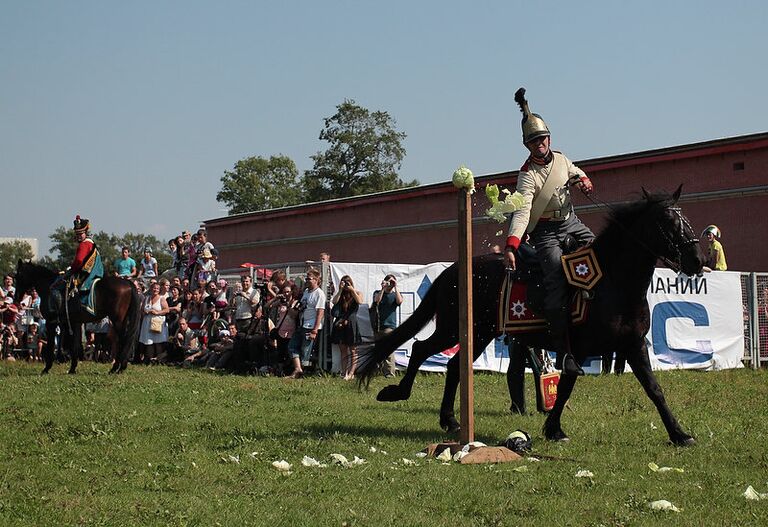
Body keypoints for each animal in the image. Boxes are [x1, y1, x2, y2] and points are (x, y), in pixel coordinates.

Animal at [13, 260, 141, 376]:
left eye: (18, 276)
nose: (17, 299)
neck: (48, 287)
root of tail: (128, 283)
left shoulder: (51, 322)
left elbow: (52, 345)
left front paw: (47, 368)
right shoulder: (71, 323)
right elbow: (73, 344)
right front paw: (72, 368)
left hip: (117, 320)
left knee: (122, 340)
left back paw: (117, 367)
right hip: (122, 320)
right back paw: (118, 368)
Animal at [360, 188, 708, 448]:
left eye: (686, 219)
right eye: (666, 221)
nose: (697, 260)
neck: (609, 281)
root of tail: (452, 270)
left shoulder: (633, 346)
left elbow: (654, 389)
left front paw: (679, 434)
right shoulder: (577, 349)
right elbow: (566, 386)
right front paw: (554, 429)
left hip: (478, 332)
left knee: (453, 365)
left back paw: (450, 419)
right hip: (455, 329)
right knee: (421, 349)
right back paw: (398, 393)